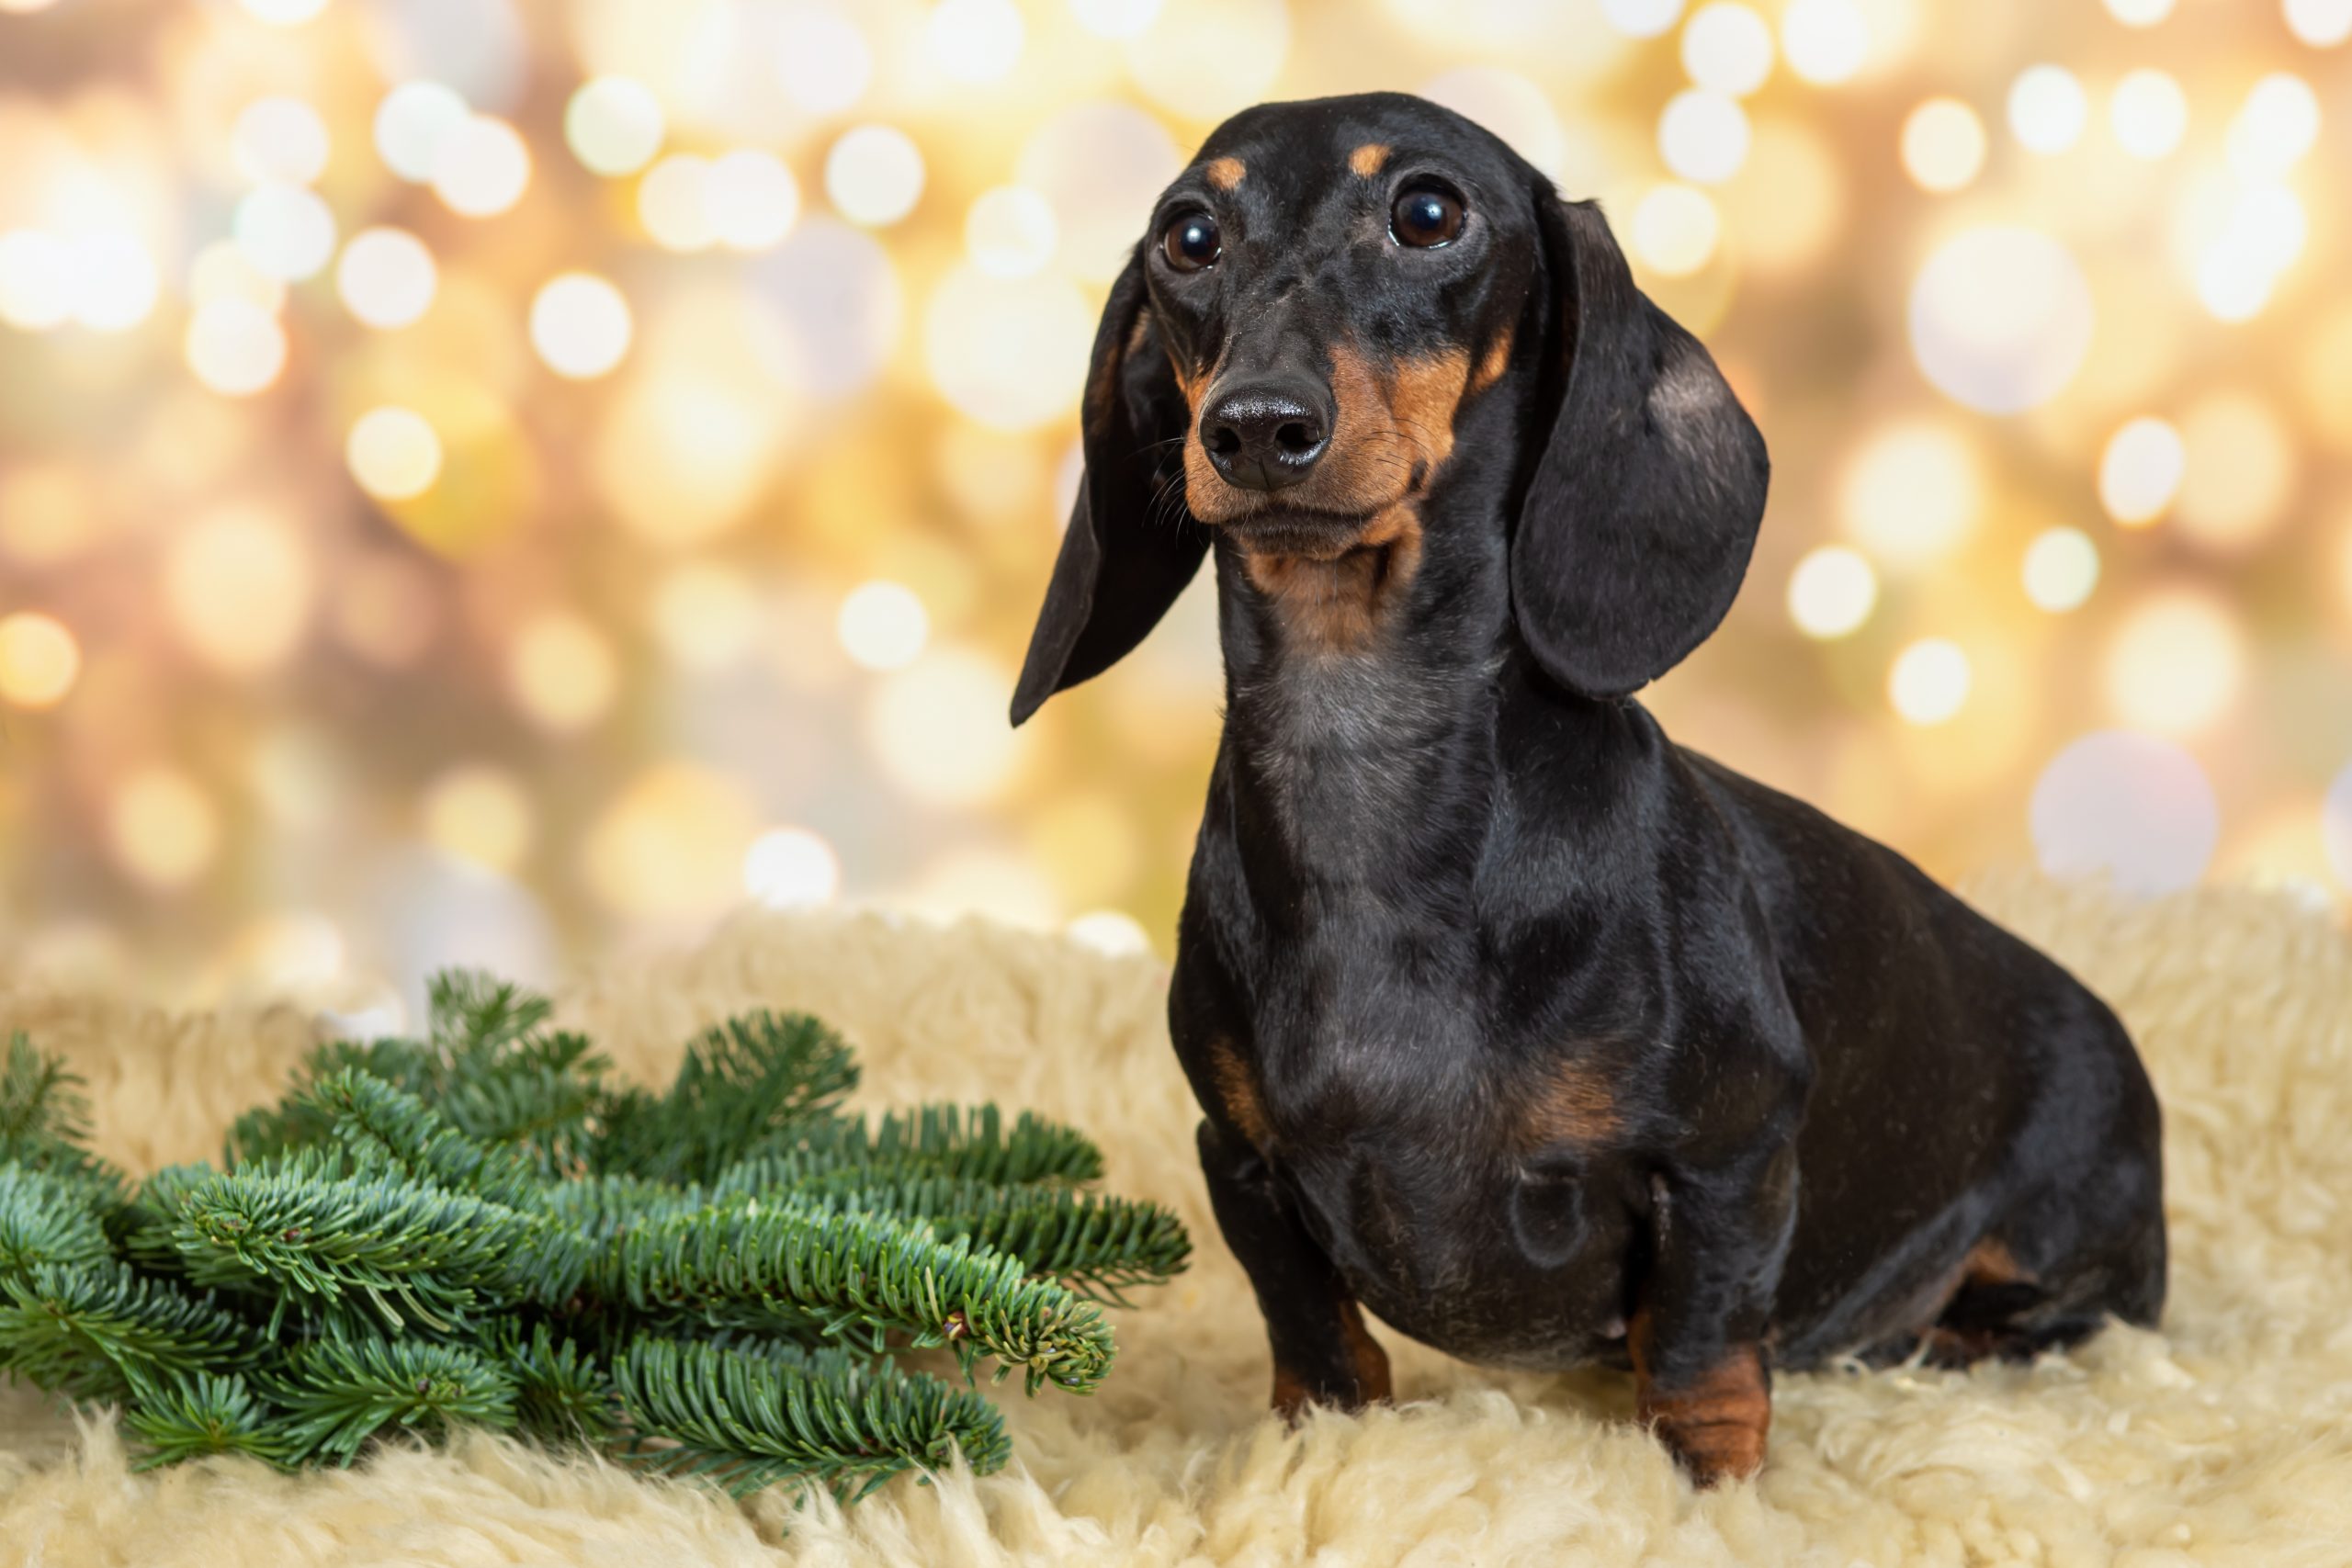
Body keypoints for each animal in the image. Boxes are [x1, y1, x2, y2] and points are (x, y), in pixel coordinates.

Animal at [1011, 92, 2164, 1495]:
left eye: (1429, 212)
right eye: (1188, 235)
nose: (1254, 426)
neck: (1365, 743)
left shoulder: (1729, 1150)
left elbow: (1705, 1334)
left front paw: (1708, 1479)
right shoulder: (1236, 1158)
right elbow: (1313, 1330)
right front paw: (1312, 1449)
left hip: (2073, 1238)